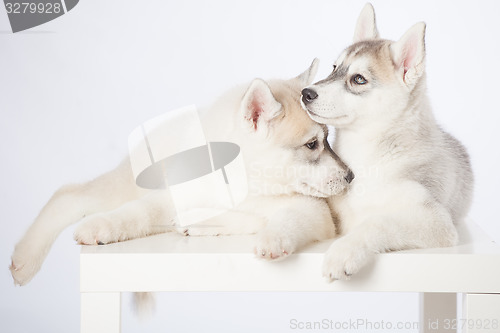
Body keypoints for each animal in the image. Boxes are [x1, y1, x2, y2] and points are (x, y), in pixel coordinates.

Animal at [8, 61, 352, 286]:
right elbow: (137, 213)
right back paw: (26, 259)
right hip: (125, 185)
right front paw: (104, 225)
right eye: (311, 144)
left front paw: (271, 237)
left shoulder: (313, 211)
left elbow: (281, 219)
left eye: (328, 139)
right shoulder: (171, 194)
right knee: (68, 194)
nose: (350, 176)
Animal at [300, 4, 472, 280]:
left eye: (358, 79)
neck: (366, 159)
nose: (306, 93)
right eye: (334, 67)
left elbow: (377, 222)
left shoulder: (435, 221)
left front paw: (344, 251)